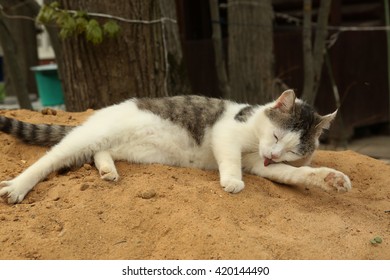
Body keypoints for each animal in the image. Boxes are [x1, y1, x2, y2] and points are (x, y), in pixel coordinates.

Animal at [0, 89, 350, 203]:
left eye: (293, 150)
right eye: (277, 137)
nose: (273, 154)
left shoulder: (259, 164)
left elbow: (295, 175)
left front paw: (332, 179)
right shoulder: (226, 134)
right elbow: (230, 159)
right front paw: (232, 180)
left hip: (124, 147)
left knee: (99, 152)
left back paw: (107, 170)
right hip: (88, 137)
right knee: (50, 159)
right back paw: (17, 187)